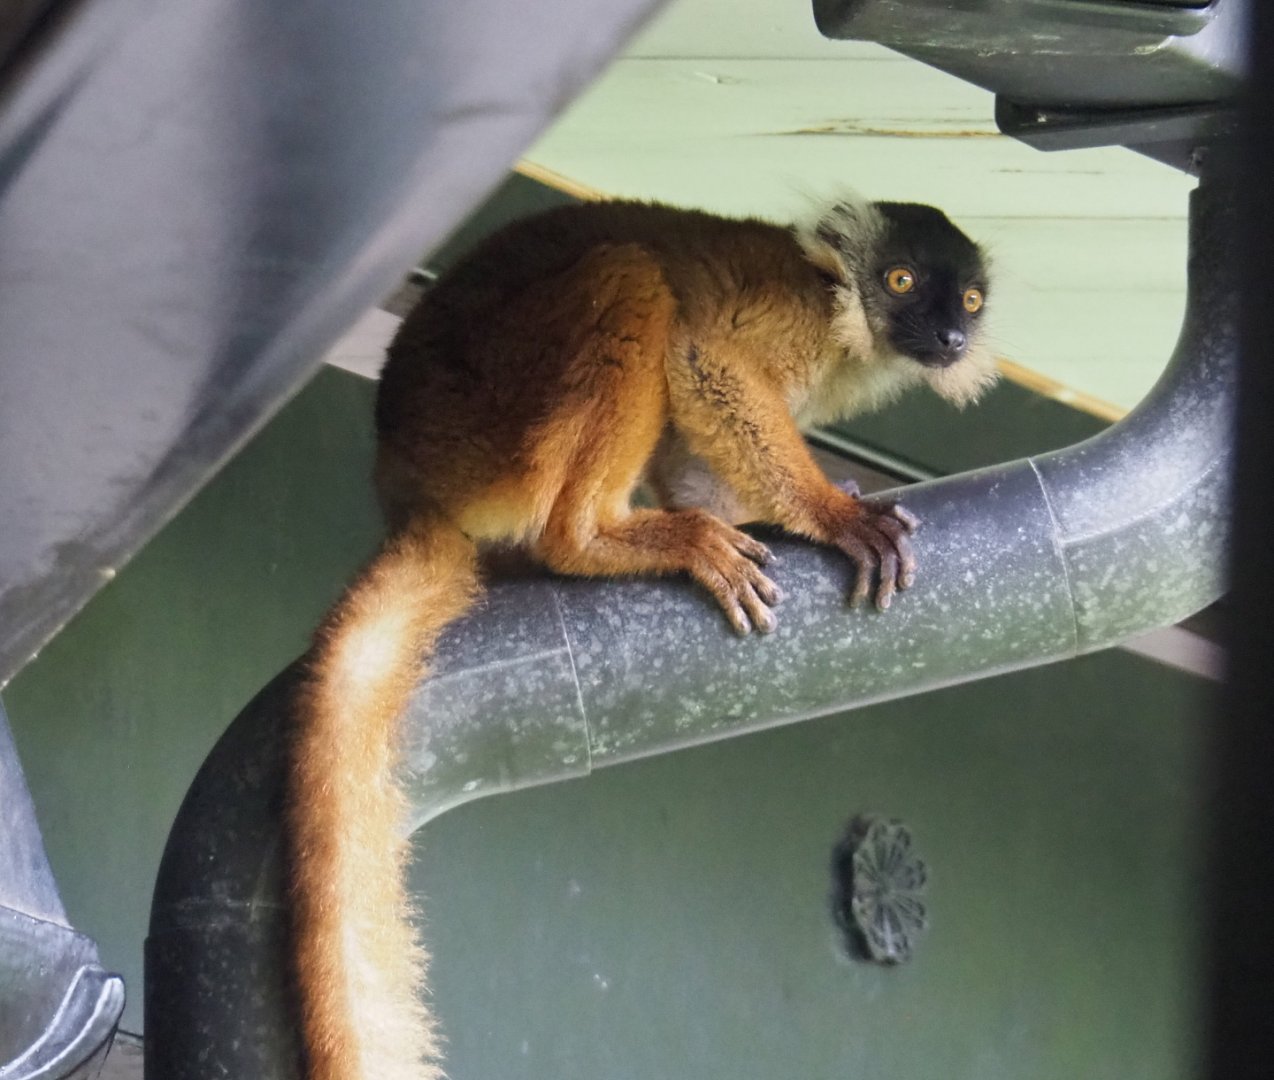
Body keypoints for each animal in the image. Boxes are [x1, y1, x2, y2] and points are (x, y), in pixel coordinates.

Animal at [286, 196, 994, 1080]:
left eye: (968, 301)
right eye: (900, 281)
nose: (951, 337)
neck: (844, 325)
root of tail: (408, 481)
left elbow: (692, 451)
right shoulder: (787, 317)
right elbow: (704, 358)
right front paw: (833, 514)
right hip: (486, 416)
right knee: (633, 277)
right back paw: (590, 537)